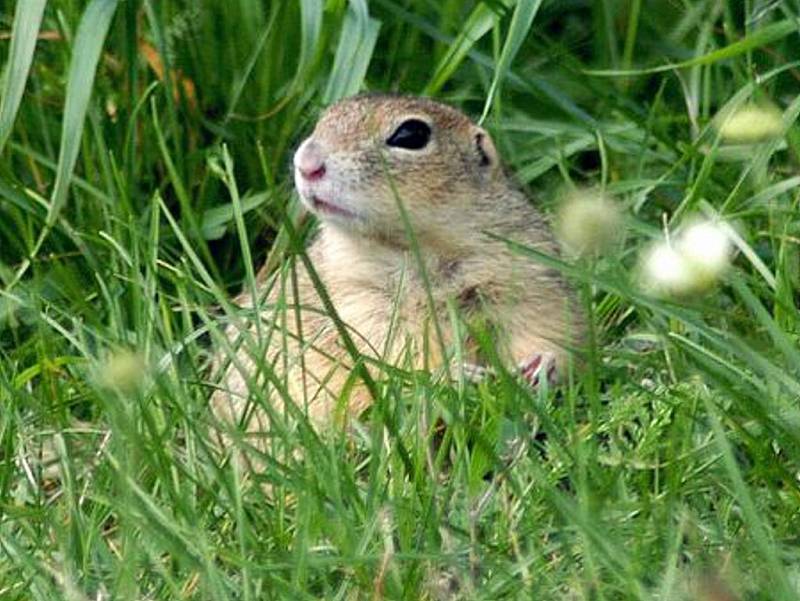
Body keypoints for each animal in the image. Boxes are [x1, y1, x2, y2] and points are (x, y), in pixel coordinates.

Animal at [212, 94, 584, 446]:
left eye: (410, 135)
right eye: (323, 120)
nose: (306, 164)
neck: (423, 251)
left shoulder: (529, 272)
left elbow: (550, 329)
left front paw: (542, 366)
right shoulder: (357, 302)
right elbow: (386, 357)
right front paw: (455, 374)